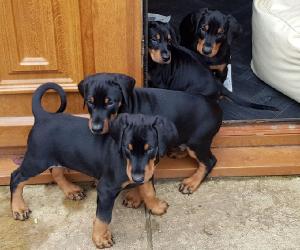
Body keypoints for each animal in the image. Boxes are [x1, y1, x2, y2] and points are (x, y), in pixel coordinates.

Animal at [10, 82, 177, 248]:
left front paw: (156, 206)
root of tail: (44, 117)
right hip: (37, 159)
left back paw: (71, 190)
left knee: (56, 171)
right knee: (16, 177)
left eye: (150, 149)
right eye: (126, 148)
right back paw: (18, 208)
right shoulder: (106, 188)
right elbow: (103, 217)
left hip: (56, 156)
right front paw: (100, 238)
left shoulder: (147, 172)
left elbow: (149, 191)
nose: (136, 178)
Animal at [77, 72, 223, 199]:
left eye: (110, 102)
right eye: (90, 102)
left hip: (198, 142)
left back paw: (191, 182)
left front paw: (134, 197)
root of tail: (216, 107)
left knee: (209, 161)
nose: (96, 128)